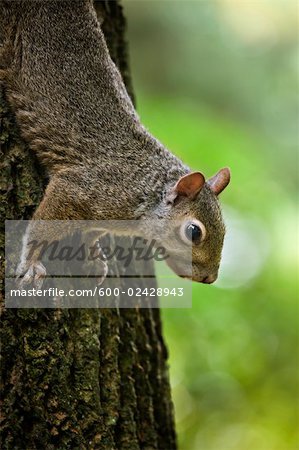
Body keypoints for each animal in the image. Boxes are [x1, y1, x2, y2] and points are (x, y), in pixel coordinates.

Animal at [0, 0, 231, 284]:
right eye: (194, 232)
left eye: (225, 229)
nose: (210, 278)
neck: (145, 192)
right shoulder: (80, 188)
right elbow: (44, 225)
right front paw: (32, 262)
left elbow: (92, 233)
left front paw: (95, 256)